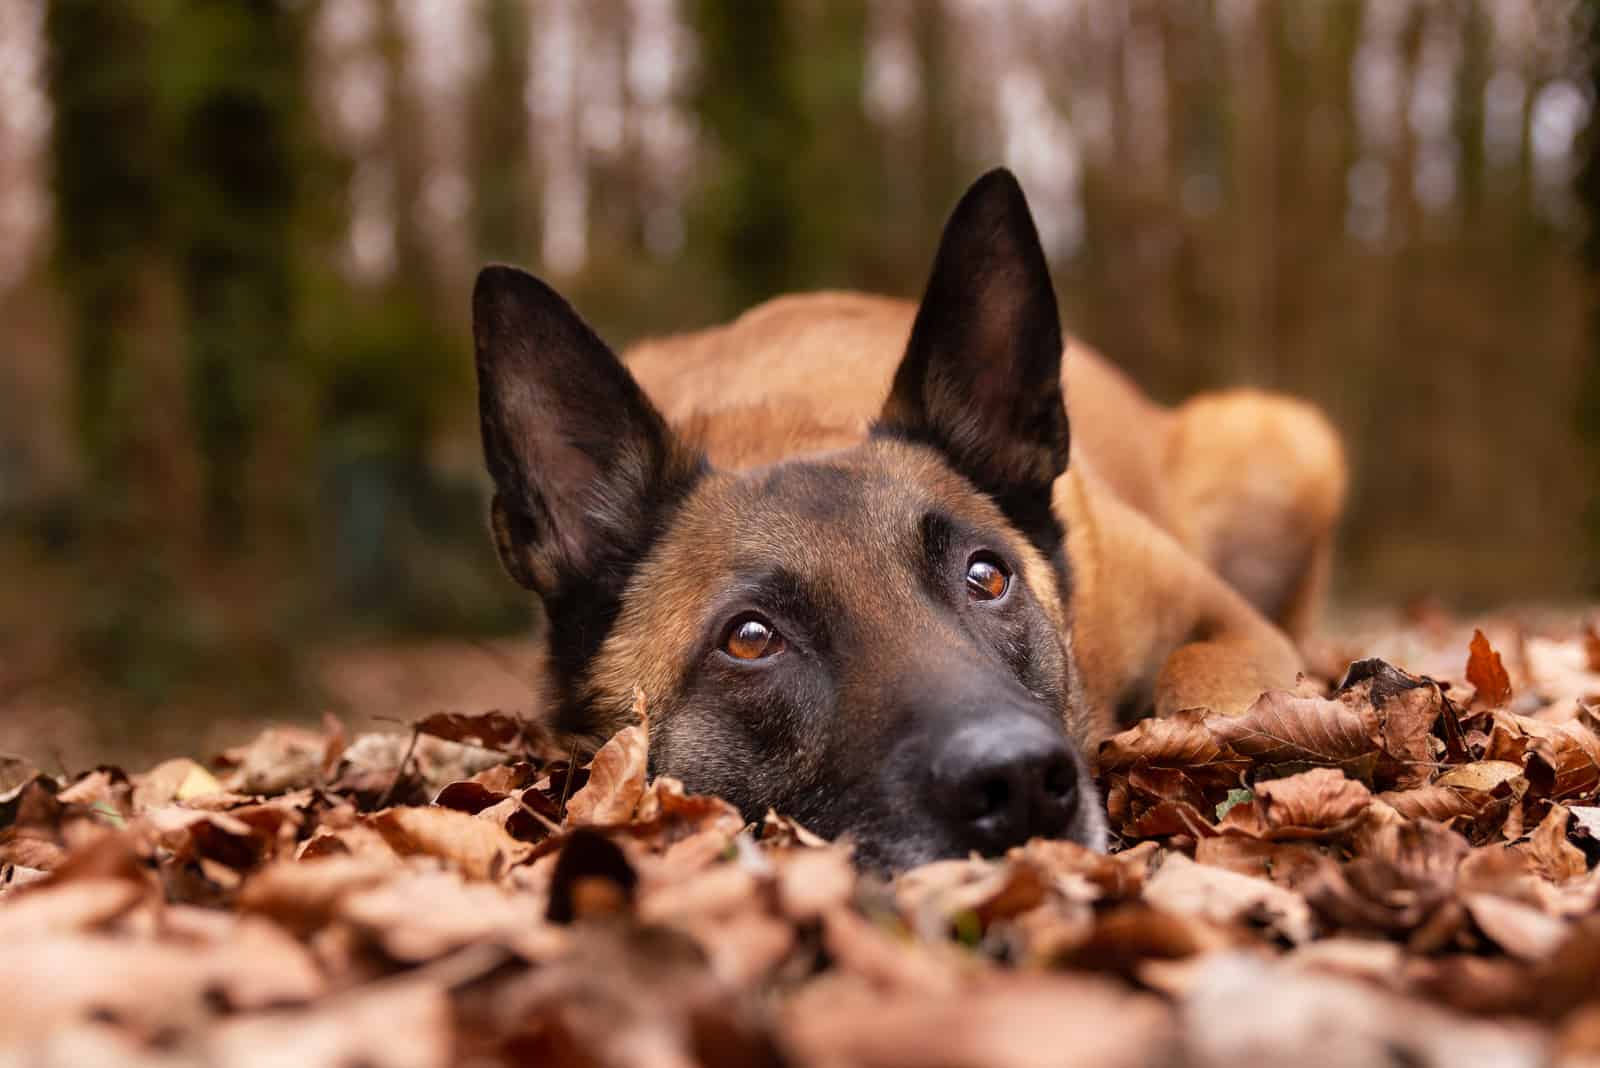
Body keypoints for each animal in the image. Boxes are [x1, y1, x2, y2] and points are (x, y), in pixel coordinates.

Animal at [467, 167, 1344, 869]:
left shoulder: (1231, 624)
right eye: (750, 638)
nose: (1018, 782)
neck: (792, 424)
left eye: (986, 576)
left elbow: (1202, 682)